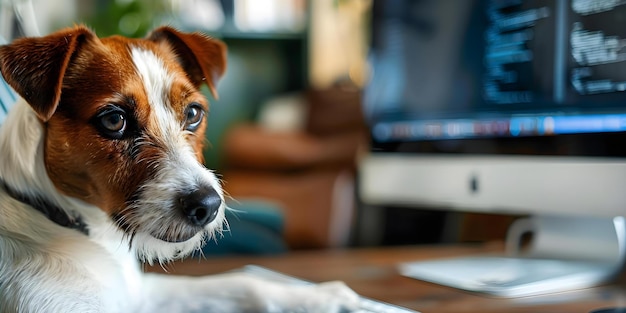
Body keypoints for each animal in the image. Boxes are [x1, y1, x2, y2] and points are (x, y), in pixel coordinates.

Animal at [0, 25, 356, 312]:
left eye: (193, 113)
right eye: (114, 120)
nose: (207, 206)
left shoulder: (144, 295)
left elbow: (240, 281)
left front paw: (323, 296)